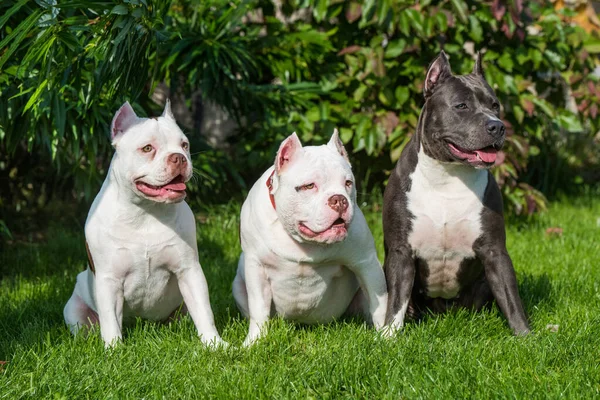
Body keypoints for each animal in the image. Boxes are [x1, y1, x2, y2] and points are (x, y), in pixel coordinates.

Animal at [62, 100, 225, 346]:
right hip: (74, 308)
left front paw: (215, 344)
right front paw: (114, 349)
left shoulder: (189, 270)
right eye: (147, 149)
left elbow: (204, 312)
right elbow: (110, 321)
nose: (179, 157)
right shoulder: (109, 280)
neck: (146, 212)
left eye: (184, 145)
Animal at [384, 51, 528, 336]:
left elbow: (511, 299)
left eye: (495, 105)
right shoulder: (400, 252)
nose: (497, 126)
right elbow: (396, 300)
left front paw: (525, 336)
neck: (448, 176)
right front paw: (387, 336)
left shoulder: (495, 251)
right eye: (461, 106)